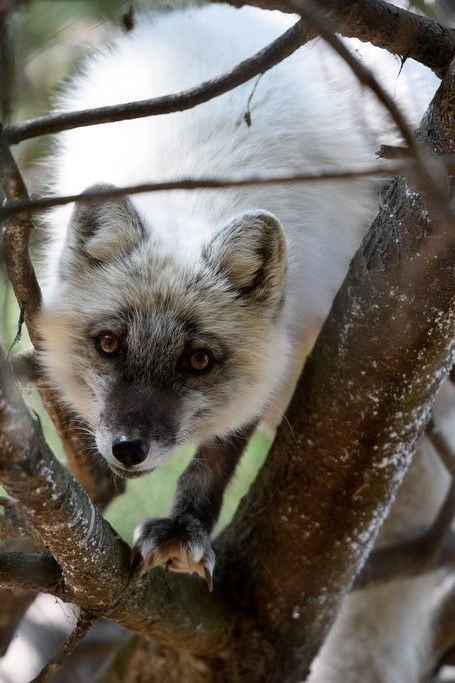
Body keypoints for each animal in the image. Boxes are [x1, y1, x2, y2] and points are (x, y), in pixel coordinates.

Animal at [40, 5, 442, 588]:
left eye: (199, 360)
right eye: (109, 344)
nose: (128, 449)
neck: (190, 178)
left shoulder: (287, 327)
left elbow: (221, 449)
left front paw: (184, 530)